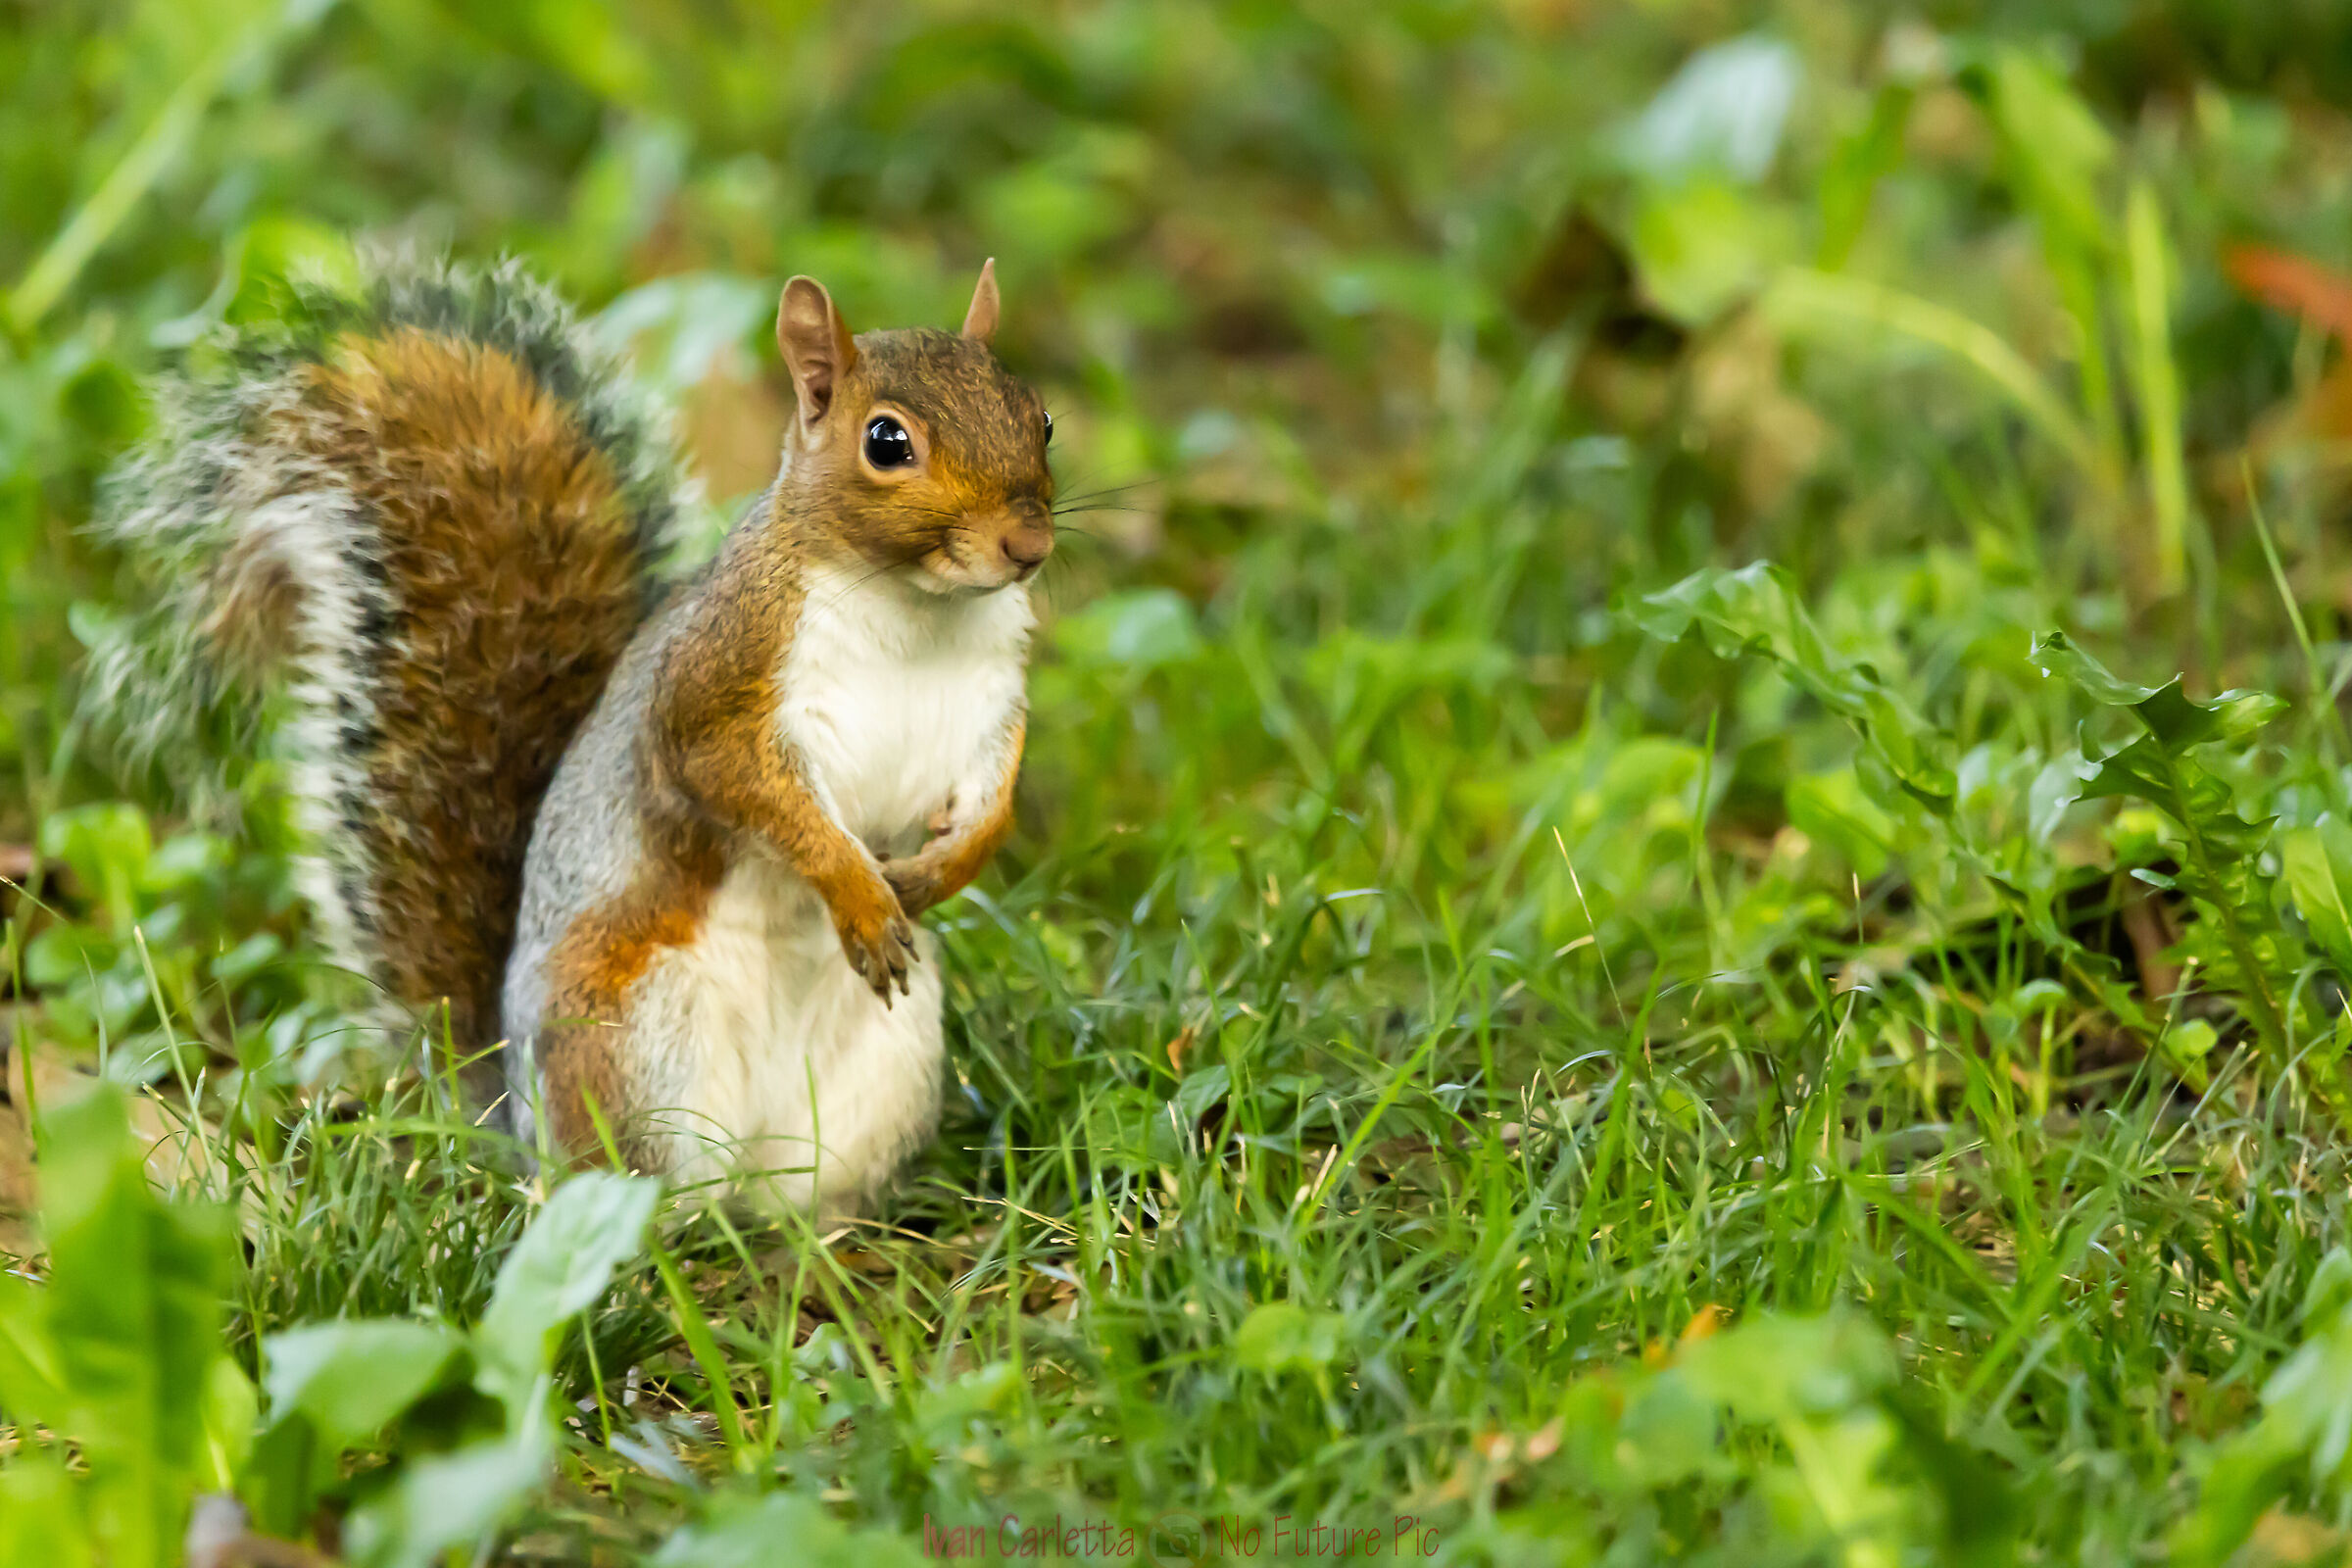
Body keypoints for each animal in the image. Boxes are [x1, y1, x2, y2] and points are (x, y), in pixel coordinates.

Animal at [91, 256, 1054, 1212]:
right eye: (886, 442)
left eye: (1039, 415)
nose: (1028, 544)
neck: (916, 611)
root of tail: (513, 1117)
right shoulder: (716, 688)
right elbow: (754, 793)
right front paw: (856, 890)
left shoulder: (990, 701)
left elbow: (997, 791)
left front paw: (948, 866)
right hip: (627, 1049)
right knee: (631, 1195)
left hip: (886, 1066)